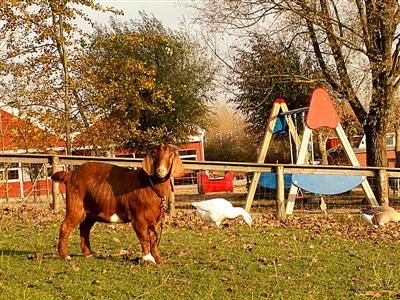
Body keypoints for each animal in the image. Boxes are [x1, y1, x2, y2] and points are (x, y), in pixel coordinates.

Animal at [50, 145, 186, 264]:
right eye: (154, 155)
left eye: (171, 156)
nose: (160, 171)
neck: (150, 185)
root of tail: (71, 175)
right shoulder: (138, 217)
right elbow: (144, 237)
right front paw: (147, 260)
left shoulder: (154, 219)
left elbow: (153, 238)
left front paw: (158, 259)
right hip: (76, 204)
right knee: (65, 226)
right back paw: (65, 256)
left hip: (90, 211)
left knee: (84, 228)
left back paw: (88, 254)